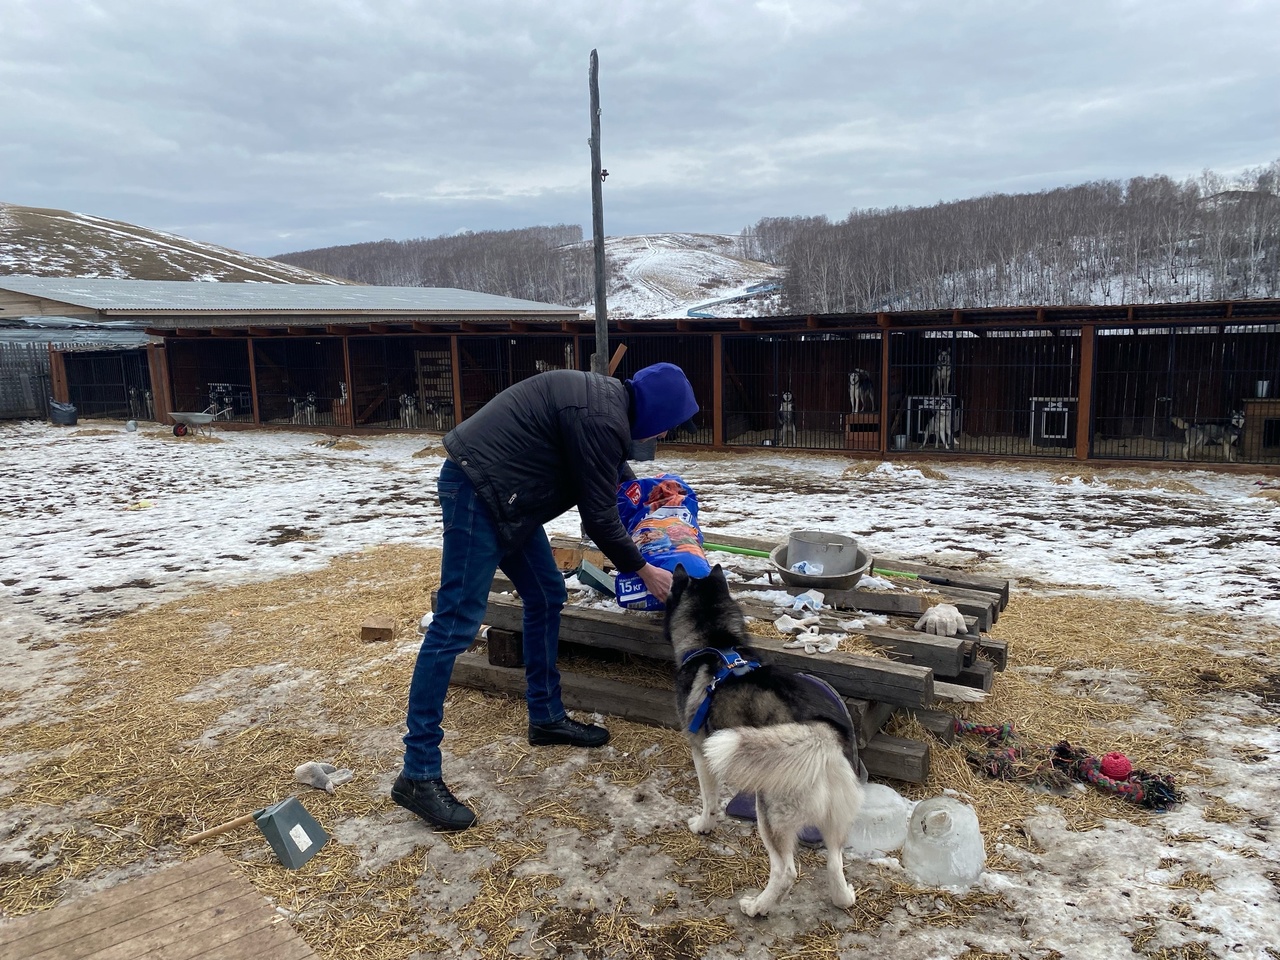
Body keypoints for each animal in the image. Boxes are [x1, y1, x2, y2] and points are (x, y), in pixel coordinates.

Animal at [666, 565, 865, 917]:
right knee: (835, 861)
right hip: (836, 815)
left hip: (770, 811)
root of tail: (821, 735)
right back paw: (843, 897)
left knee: (786, 871)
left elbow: (708, 800)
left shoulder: (701, 752)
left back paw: (757, 906)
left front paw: (703, 825)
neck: (716, 642)